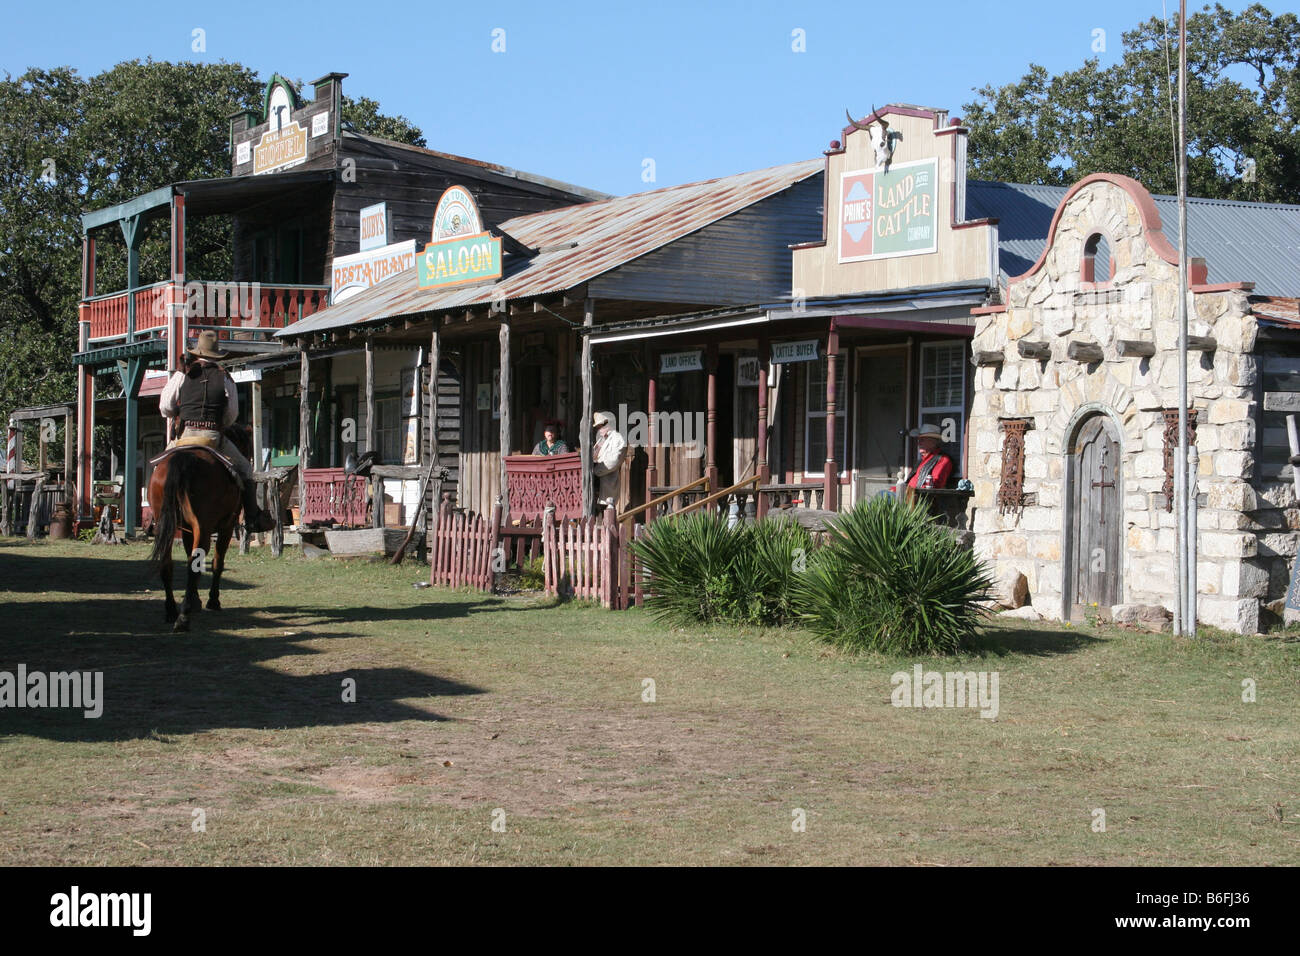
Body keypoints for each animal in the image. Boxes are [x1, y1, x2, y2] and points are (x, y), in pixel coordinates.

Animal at [148, 424, 250, 632]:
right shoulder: (227, 527)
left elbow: (190, 556)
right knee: (195, 562)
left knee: (168, 564)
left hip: (165, 526)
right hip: (204, 528)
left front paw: (195, 600)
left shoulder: (187, 530)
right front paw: (213, 601)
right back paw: (183, 618)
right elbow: (217, 563)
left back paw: (171, 611)